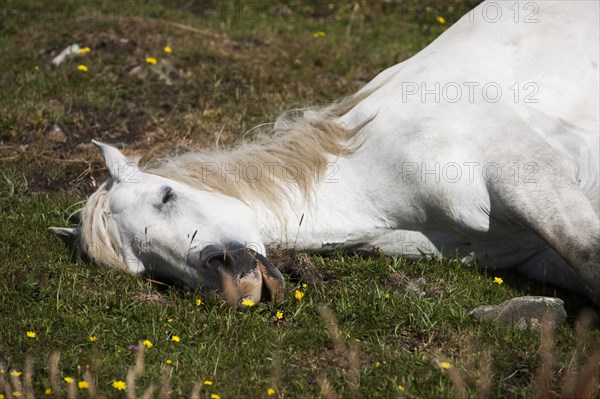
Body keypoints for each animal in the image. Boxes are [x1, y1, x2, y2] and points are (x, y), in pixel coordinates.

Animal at [51, 0, 600, 306]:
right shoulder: (535, 254)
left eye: (167, 195)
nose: (232, 281)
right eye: (147, 268)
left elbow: (589, 256)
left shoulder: (533, 178)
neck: (376, 172)